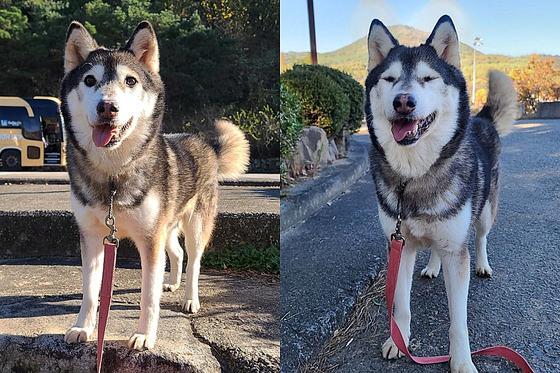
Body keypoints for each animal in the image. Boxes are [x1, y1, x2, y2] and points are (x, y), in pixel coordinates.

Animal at [60, 20, 249, 348]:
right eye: (89, 79)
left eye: (131, 81)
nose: (107, 107)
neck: (113, 175)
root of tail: (207, 145)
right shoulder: (93, 236)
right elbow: (90, 292)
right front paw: (83, 327)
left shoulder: (149, 238)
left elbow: (148, 296)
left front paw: (144, 335)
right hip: (167, 225)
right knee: (177, 253)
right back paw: (171, 282)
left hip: (195, 224)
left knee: (194, 261)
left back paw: (189, 298)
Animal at [366, 15, 520, 372]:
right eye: (390, 79)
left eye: (428, 78)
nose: (403, 101)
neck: (414, 175)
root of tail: (482, 118)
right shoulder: (400, 244)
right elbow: (401, 304)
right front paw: (398, 341)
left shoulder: (455, 250)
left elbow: (458, 320)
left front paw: (461, 361)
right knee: (437, 248)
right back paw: (433, 266)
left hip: (485, 210)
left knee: (479, 237)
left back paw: (482, 264)